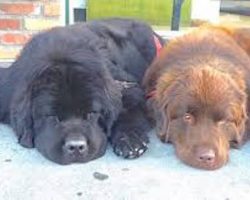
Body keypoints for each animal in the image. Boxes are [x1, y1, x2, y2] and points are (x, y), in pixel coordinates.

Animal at [0, 18, 164, 164]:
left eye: (92, 113)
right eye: (52, 116)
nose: (76, 146)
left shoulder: (128, 85)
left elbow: (127, 111)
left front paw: (130, 140)